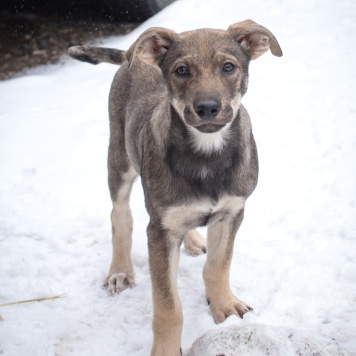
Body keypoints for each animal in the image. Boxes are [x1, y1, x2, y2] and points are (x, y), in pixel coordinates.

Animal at [68, 19, 282, 356]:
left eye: (228, 67)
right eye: (181, 70)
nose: (207, 108)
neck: (207, 152)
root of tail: (131, 56)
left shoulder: (232, 212)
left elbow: (218, 265)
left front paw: (224, 306)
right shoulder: (159, 232)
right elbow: (167, 305)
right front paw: (166, 349)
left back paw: (192, 241)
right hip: (120, 158)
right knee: (120, 214)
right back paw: (120, 271)